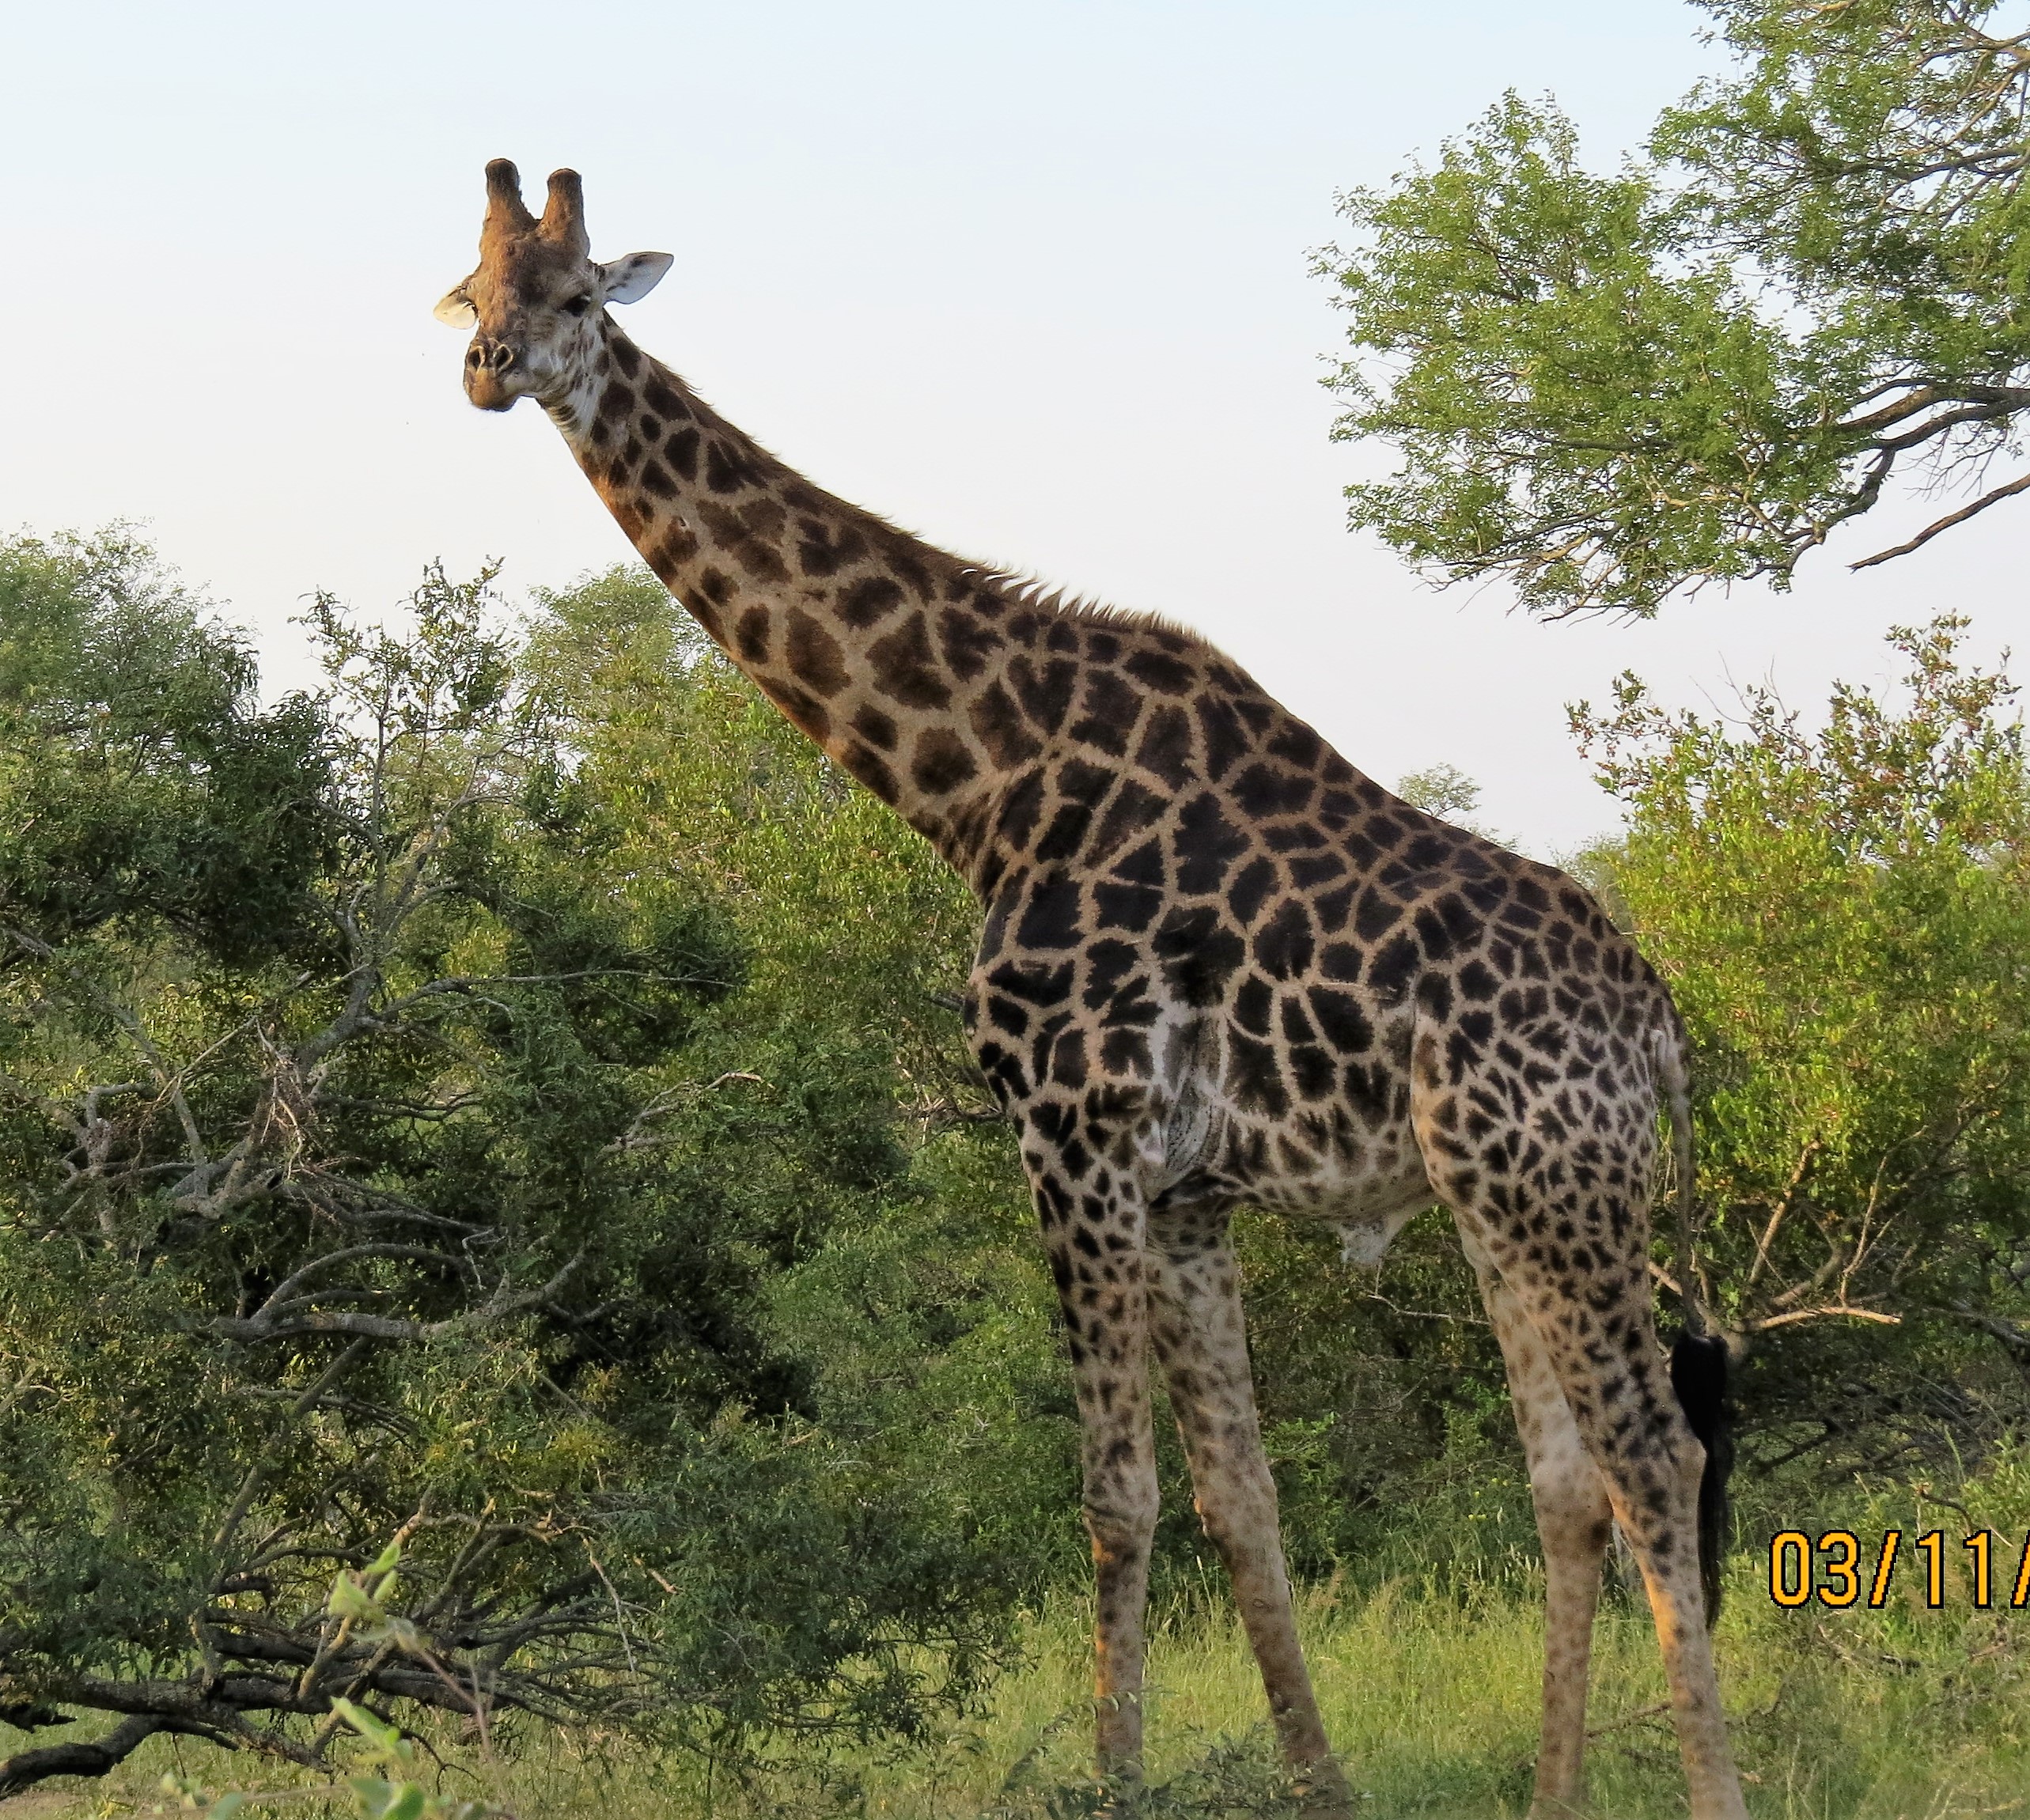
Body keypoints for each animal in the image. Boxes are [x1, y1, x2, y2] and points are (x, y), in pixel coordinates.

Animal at [435, 160, 1748, 1820]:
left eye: (578, 292)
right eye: (471, 293)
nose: (490, 372)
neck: (984, 784)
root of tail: (1660, 1031)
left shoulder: (1070, 1134)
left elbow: (1116, 1498)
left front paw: (1116, 1777)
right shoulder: (1187, 1192)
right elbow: (1239, 1498)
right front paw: (1317, 1786)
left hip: (1556, 1190)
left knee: (1656, 1456)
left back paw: (1709, 1791)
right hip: (1502, 1199)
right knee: (1567, 1475)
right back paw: (1552, 1794)